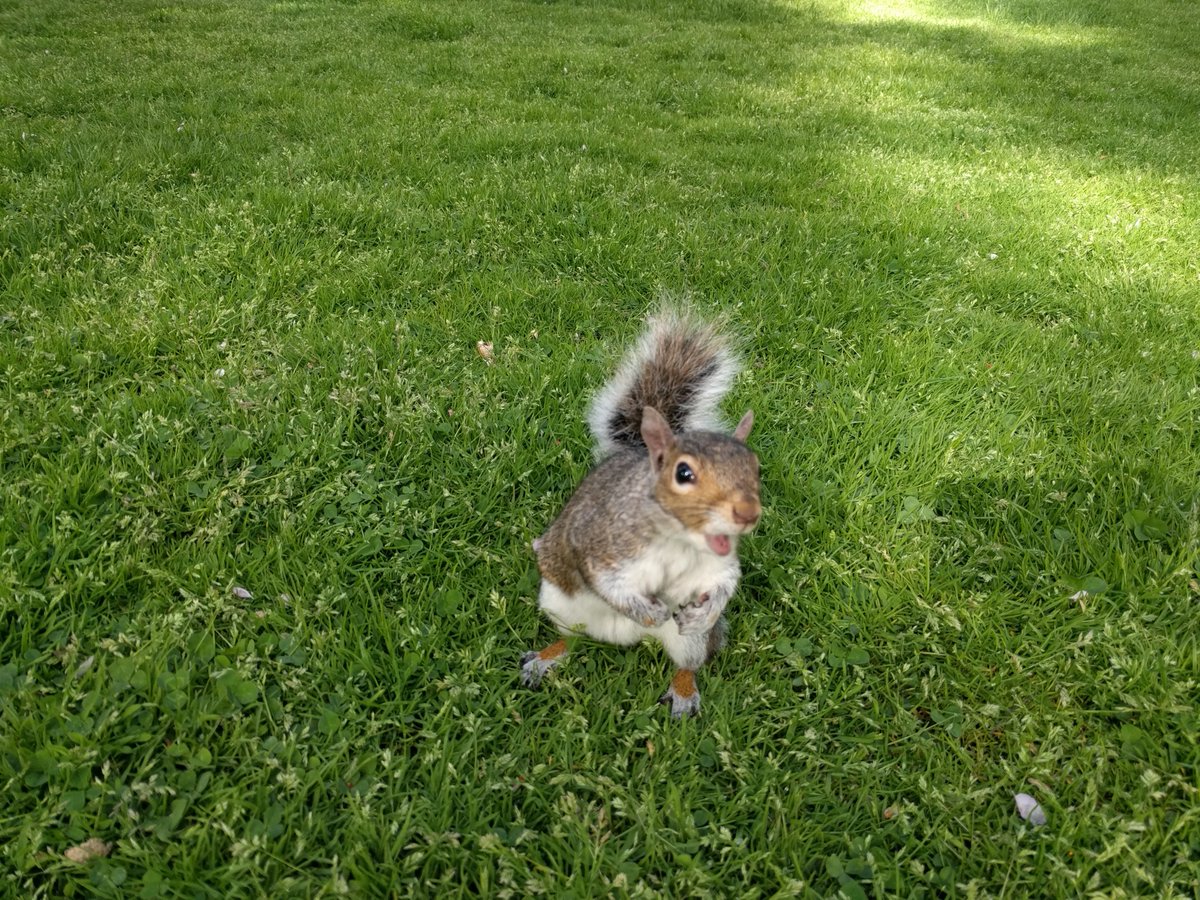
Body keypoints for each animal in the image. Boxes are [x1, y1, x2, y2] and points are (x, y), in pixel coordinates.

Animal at [520, 309, 761, 718]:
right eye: (683, 473)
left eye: (756, 468)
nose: (747, 513)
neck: (680, 542)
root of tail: (624, 638)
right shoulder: (601, 544)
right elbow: (607, 583)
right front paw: (649, 611)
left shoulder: (717, 564)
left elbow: (725, 582)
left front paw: (706, 611)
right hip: (559, 605)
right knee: (573, 639)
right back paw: (545, 659)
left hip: (689, 643)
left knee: (688, 662)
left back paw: (683, 692)